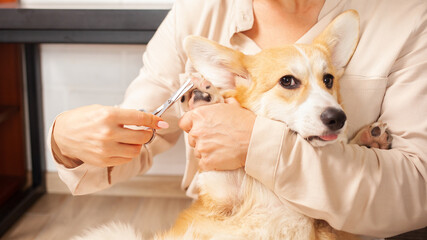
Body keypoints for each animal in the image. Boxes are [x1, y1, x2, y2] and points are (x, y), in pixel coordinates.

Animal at [72, 9, 392, 240]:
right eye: (288, 81)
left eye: (328, 80)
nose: (337, 118)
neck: (275, 193)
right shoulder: (222, 195)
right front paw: (204, 98)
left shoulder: (334, 227)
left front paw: (368, 139)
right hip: (117, 232)